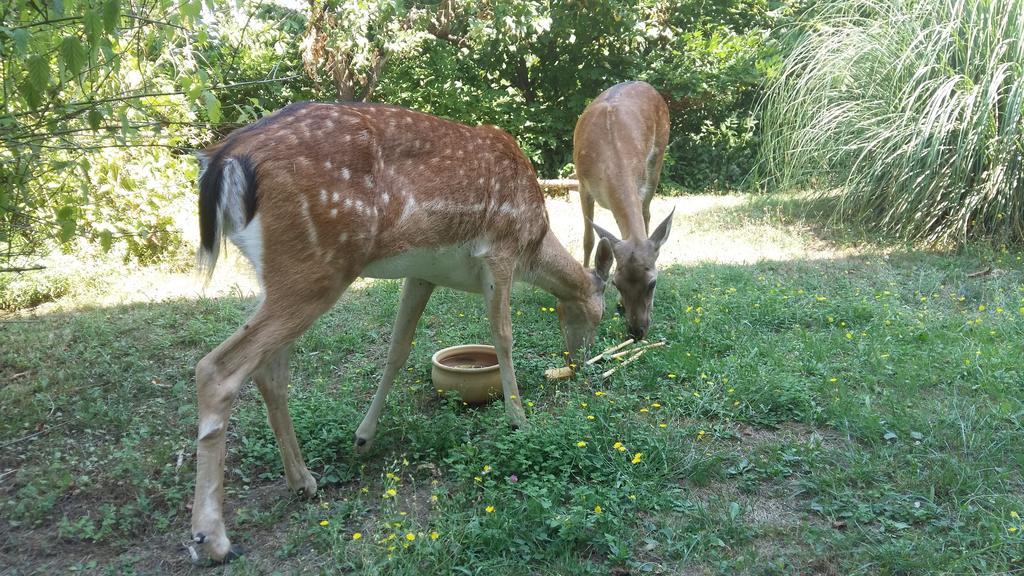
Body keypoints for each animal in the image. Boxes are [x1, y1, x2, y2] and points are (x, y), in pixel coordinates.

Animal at [188, 100, 610, 557]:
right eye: (602, 313)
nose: (581, 361)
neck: (534, 242)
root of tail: (225, 158)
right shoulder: (499, 252)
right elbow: (503, 337)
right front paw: (520, 420)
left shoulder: (422, 273)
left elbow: (399, 347)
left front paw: (364, 437)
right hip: (315, 266)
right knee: (217, 368)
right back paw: (212, 537)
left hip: (279, 277)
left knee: (269, 370)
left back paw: (303, 481)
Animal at [577, 80, 671, 340]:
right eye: (616, 283)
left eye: (652, 283)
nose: (637, 331)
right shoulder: (582, 185)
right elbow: (588, 239)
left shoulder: (639, 183)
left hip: (658, 156)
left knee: (647, 214)